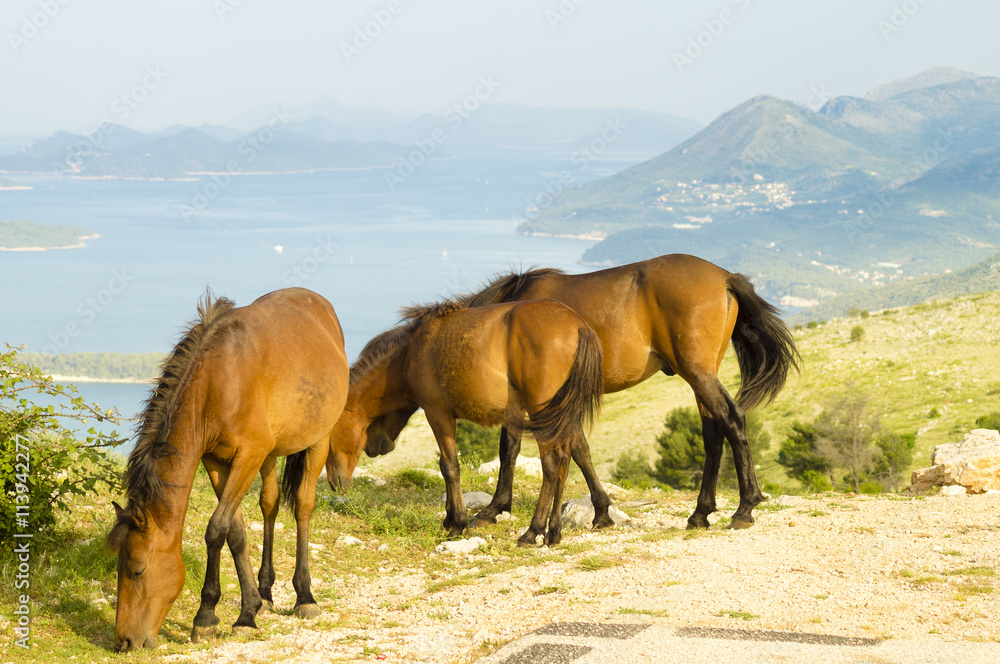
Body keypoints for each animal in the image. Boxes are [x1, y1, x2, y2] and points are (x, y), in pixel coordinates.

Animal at [106, 288, 349, 652]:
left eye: (137, 570)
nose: (124, 641)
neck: (217, 382)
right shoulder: (218, 462)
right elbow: (235, 532)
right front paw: (250, 609)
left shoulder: (248, 455)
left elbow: (216, 529)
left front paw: (206, 617)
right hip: (270, 456)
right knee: (269, 503)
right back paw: (266, 590)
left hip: (318, 440)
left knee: (304, 506)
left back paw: (304, 596)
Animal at [325, 298, 604, 547]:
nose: (334, 484)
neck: (412, 352)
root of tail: (578, 325)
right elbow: (445, 464)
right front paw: (450, 518)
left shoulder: (437, 413)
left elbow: (449, 466)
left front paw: (458, 523)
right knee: (565, 460)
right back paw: (554, 532)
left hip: (541, 413)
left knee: (552, 464)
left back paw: (532, 532)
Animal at [454, 254, 800, 530]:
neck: (507, 323)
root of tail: (726, 277)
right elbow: (579, 448)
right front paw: (602, 511)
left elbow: (510, 448)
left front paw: (494, 509)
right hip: (703, 376)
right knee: (713, 433)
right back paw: (701, 513)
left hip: (698, 374)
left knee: (732, 420)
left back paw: (745, 508)